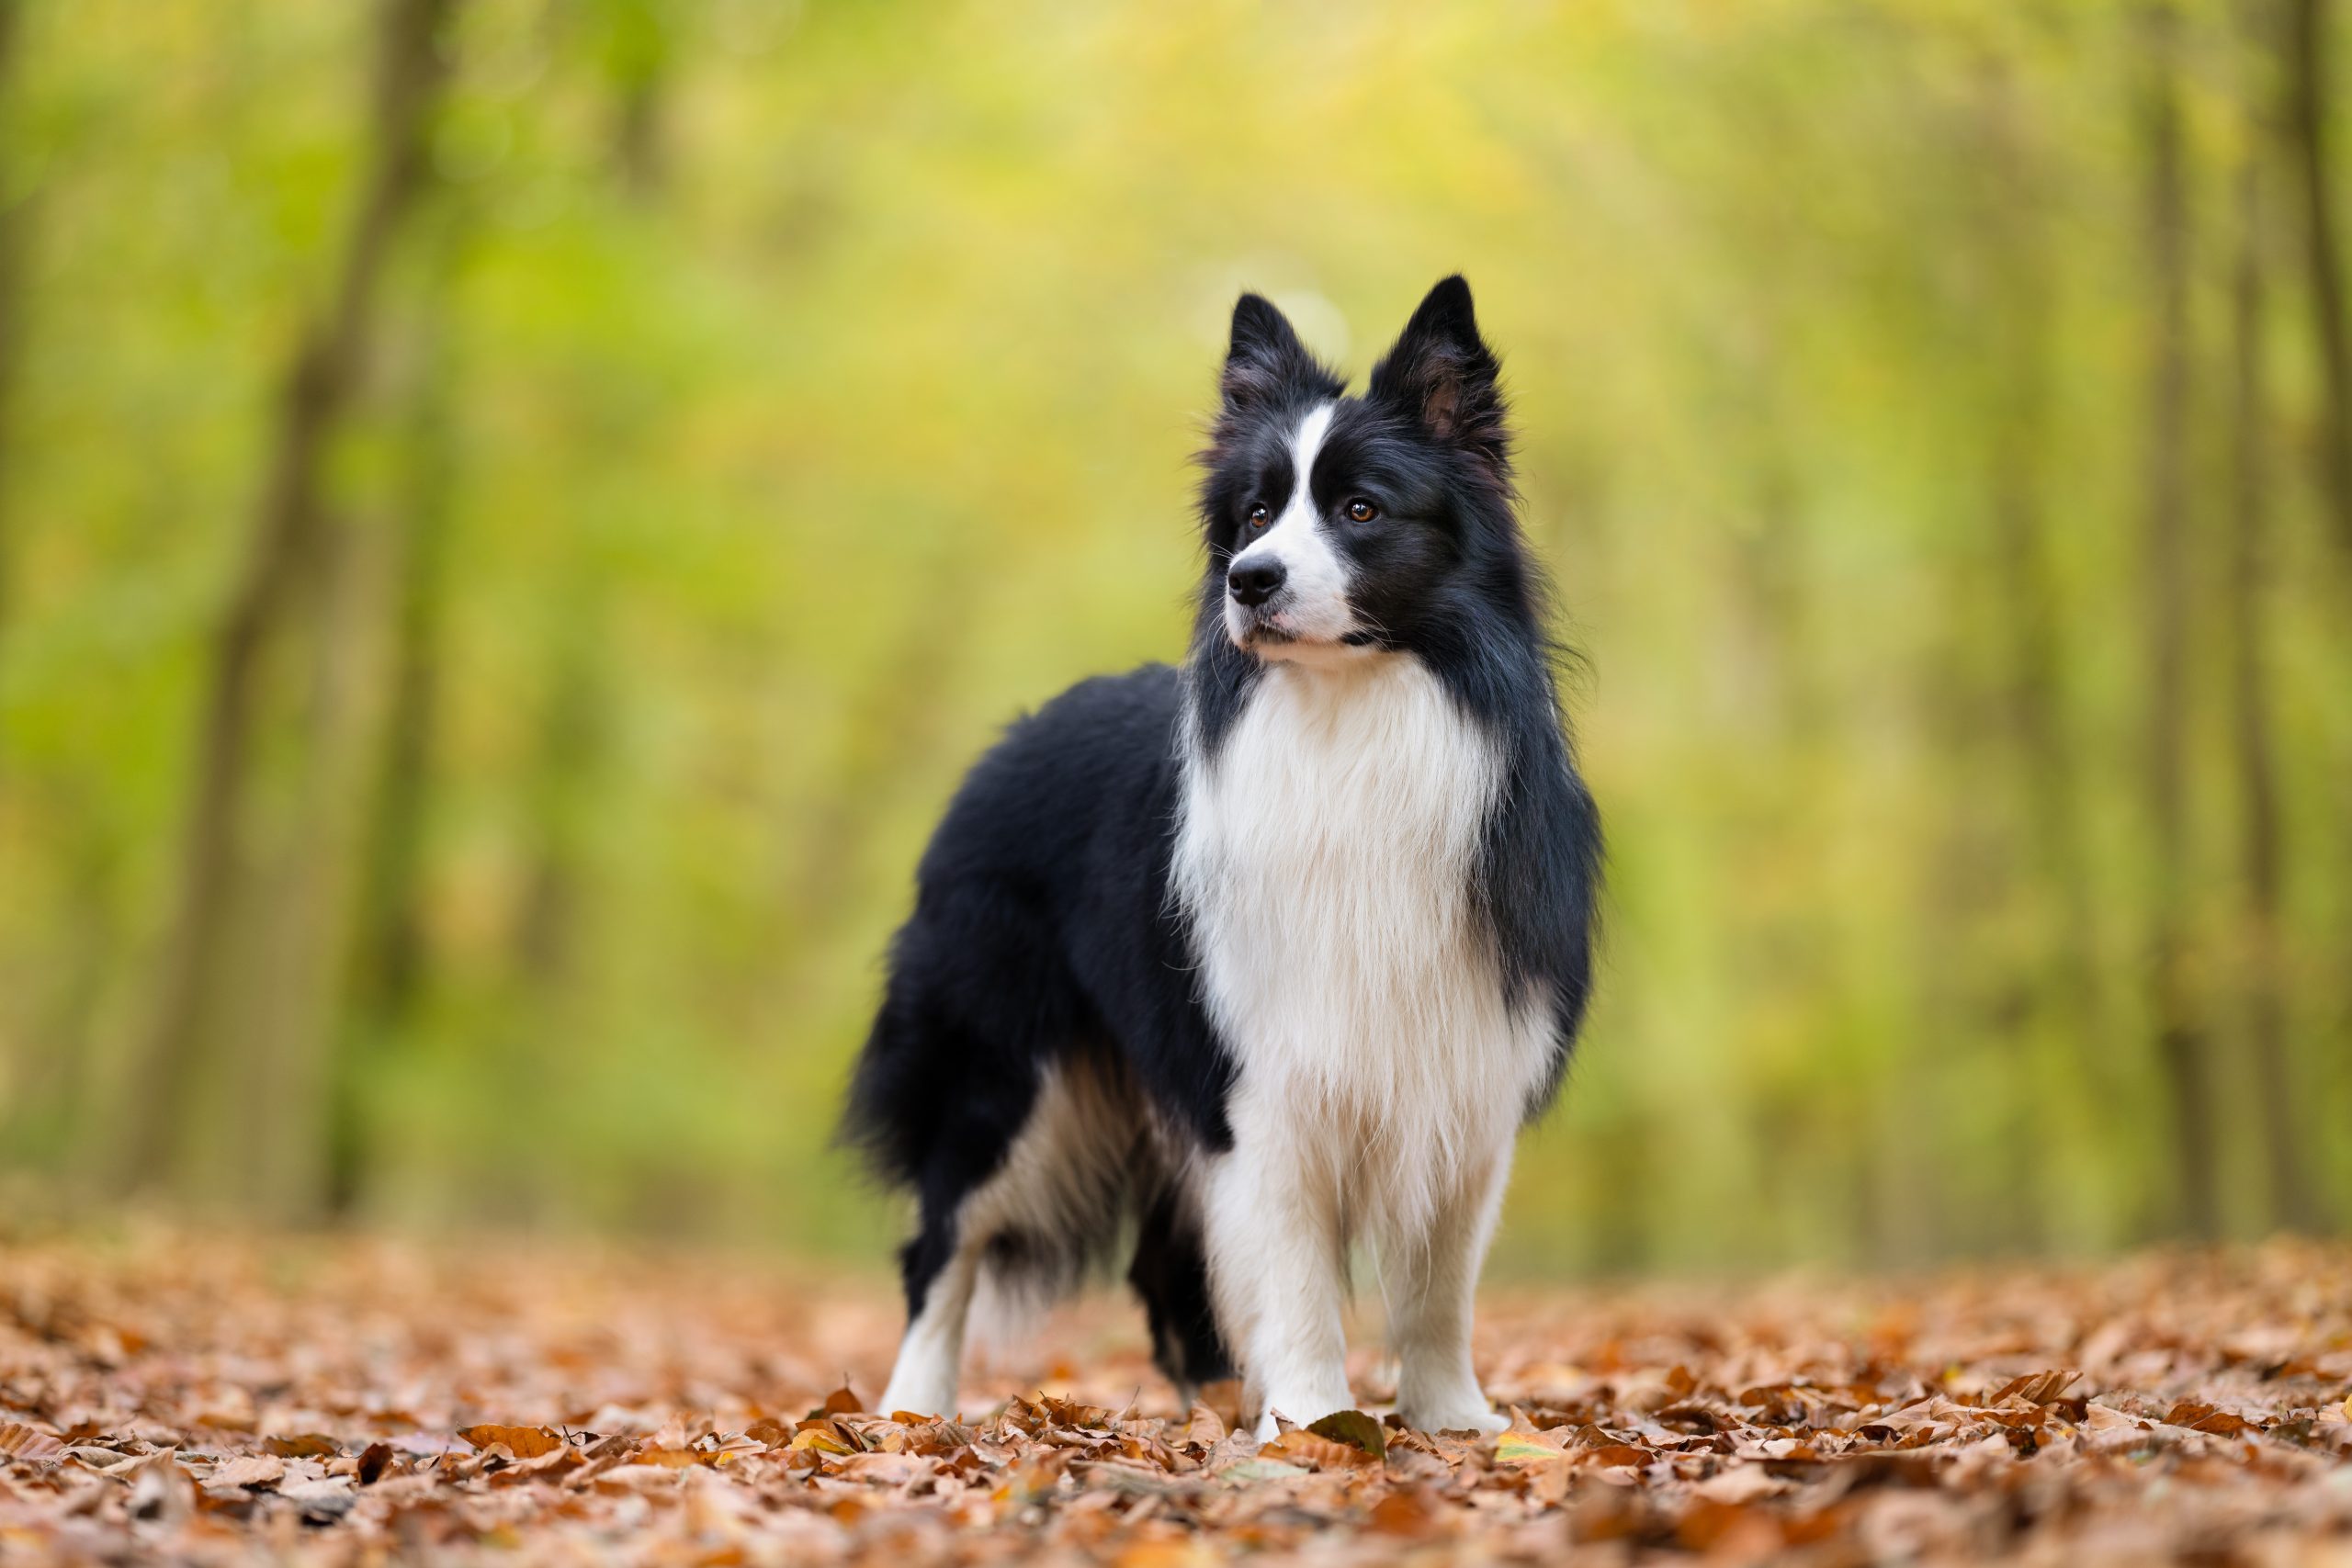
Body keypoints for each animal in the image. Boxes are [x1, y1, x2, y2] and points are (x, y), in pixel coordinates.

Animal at [846, 278, 1599, 1438]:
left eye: (1361, 509)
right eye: (1252, 515)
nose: (1250, 580)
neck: (1347, 722)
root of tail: (1009, 737)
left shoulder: (1463, 1059)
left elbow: (1439, 1281)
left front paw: (1453, 1423)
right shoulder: (1261, 1073)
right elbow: (1293, 1270)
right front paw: (1316, 1423)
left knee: (1165, 1267)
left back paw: (1209, 1404)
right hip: (1002, 1072)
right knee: (941, 1244)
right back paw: (911, 1411)